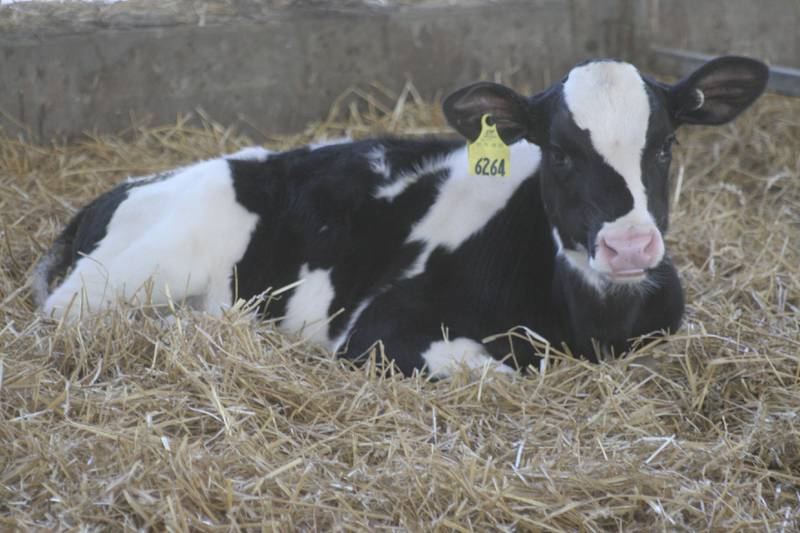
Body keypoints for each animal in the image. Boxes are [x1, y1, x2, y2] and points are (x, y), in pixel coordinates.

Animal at [32, 56, 768, 377]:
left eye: (665, 144)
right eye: (558, 151)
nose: (631, 247)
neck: (592, 324)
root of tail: (121, 186)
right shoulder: (378, 328)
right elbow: (496, 367)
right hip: (145, 263)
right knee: (66, 312)